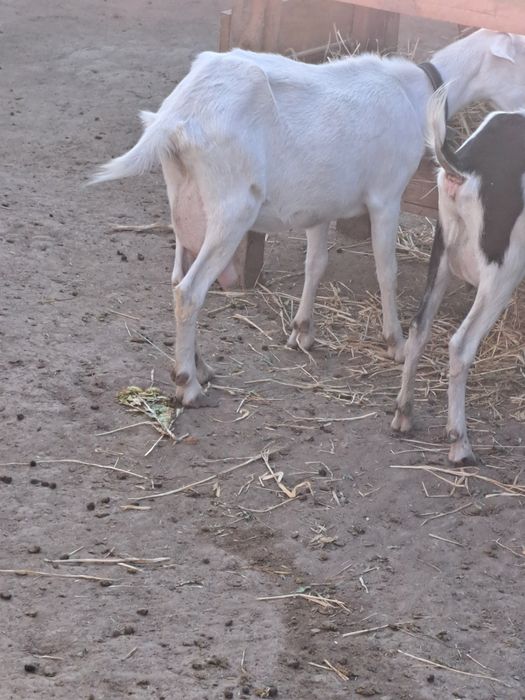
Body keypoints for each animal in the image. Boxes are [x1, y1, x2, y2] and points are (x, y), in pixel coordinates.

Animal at [91, 30, 525, 407]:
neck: (417, 91)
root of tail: (178, 115)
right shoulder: (386, 195)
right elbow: (387, 270)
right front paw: (395, 343)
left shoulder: (321, 205)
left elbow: (315, 264)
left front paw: (302, 332)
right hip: (231, 208)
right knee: (189, 291)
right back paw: (188, 386)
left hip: (184, 198)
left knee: (177, 278)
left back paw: (201, 368)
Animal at [392, 89, 525, 464]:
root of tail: (463, 167)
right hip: (503, 269)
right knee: (461, 344)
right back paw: (460, 444)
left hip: (441, 250)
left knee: (419, 327)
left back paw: (404, 415)